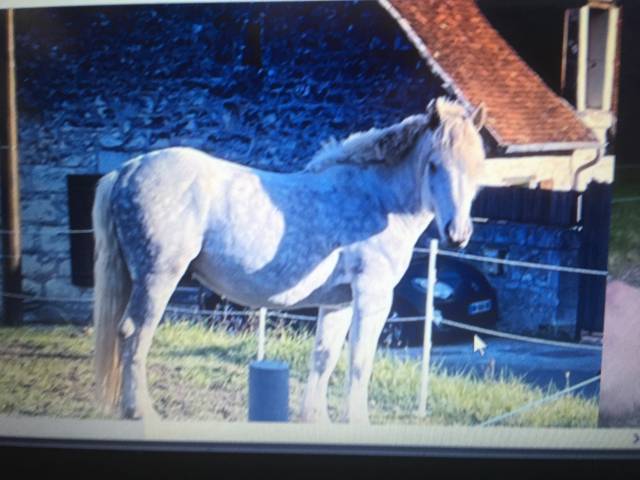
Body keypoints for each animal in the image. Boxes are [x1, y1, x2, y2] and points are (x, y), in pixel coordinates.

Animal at [92, 96, 486, 423]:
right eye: (434, 165)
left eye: (477, 167)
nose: (458, 233)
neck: (377, 199)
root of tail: (126, 170)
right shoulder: (373, 297)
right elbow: (359, 362)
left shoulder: (339, 302)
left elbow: (324, 356)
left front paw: (316, 419)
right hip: (158, 278)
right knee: (135, 334)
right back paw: (140, 412)